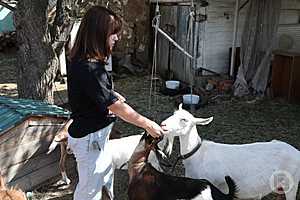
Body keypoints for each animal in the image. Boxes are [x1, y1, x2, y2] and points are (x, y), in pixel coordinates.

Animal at [161, 104, 300, 200]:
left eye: (184, 119)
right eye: (173, 114)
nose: (163, 125)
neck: (198, 155)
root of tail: (296, 152)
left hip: (292, 183)